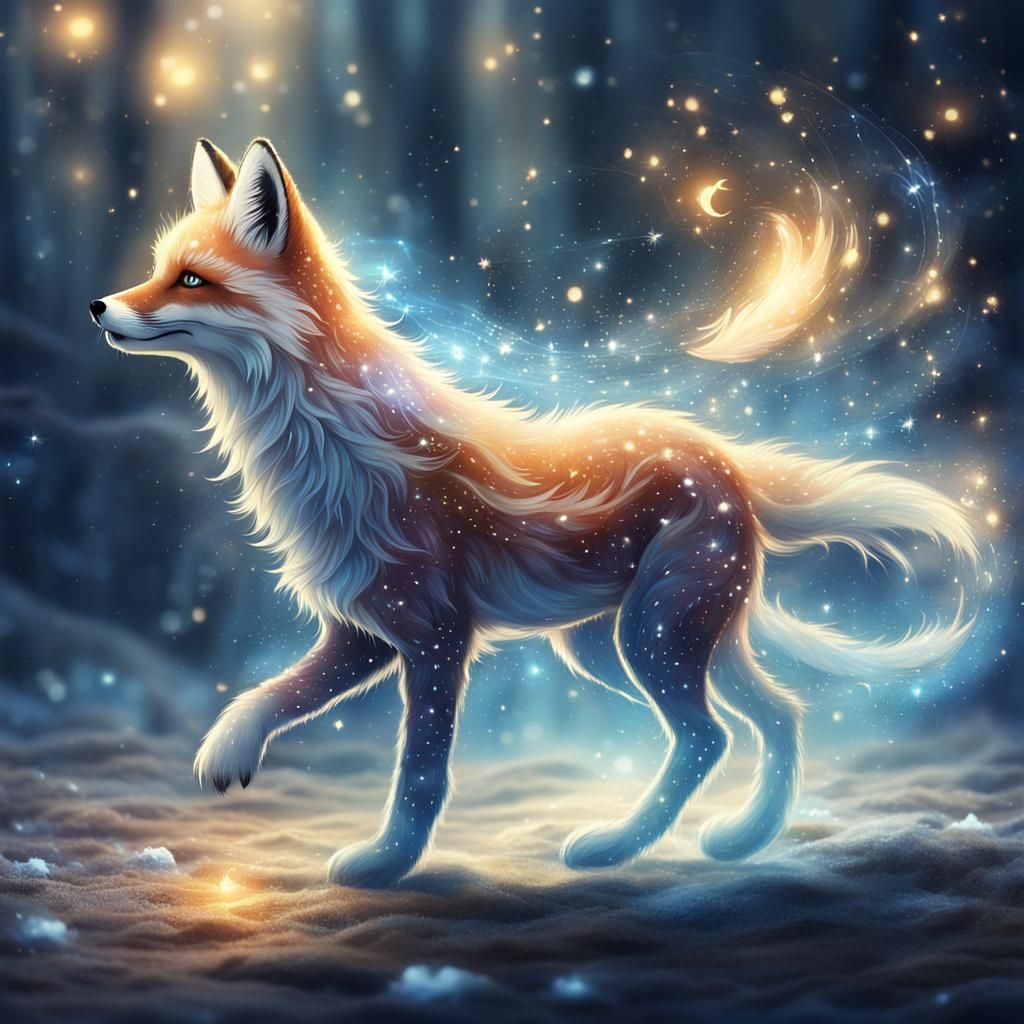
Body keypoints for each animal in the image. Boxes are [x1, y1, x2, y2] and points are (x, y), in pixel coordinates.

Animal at [91, 138, 978, 888]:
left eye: (192, 279)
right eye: (158, 268)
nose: (99, 306)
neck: (331, 437)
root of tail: (726, 459)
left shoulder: (436, 637)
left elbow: (421, 773)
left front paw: (386, 864)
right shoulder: (365, 628)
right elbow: (268, 695)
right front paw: (226, 753)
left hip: (654, 638)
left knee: (708, 736)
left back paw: (617, 847)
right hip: (632, 645)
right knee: (774, 716)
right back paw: (741, 840)